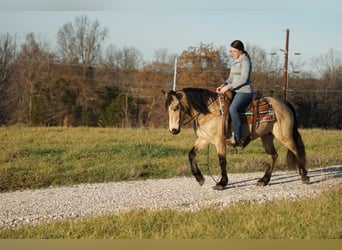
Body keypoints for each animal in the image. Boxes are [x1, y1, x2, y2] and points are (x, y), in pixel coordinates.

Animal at [163, 87, 310, 190]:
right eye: (168, 109)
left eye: (176, 107)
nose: (173, 130)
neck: (209, 111)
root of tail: (284, 104)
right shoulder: (204, 139)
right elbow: (191, 154)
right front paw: (200, 178)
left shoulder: (219, 142)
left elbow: (222, 161)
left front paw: (221, 183)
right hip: (266, 137)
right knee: (273, 155)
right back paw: (264, 180)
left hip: (285, 136)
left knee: (296, 151)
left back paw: (304, 177)